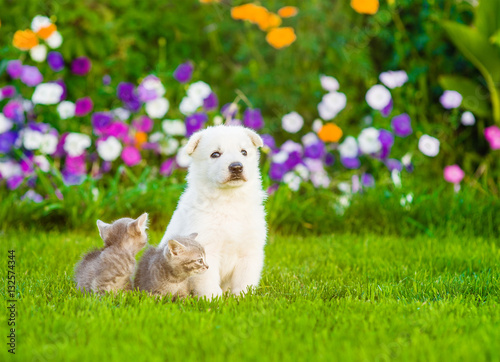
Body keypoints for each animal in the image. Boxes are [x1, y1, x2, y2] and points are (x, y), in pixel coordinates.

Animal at [161, 126, 270, 298]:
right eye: (215, 154)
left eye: (244, 152)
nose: (236, 166)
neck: (229, 200)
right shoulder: (207, 246)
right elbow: (208, 280)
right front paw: (214, 299)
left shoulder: (249, 250)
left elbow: (245, 279)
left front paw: (243, 298)